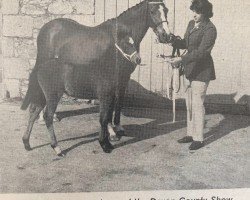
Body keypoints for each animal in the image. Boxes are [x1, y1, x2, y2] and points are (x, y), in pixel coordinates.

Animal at [20, 0, 173, 155]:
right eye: (152, 11)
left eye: (166, 10)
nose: (166, 36)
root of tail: (46, 28)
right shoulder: (119, 78)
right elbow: (114, 105)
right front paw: (112, 132)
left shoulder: (122, 78)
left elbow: (116, 103)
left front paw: (114, 130)